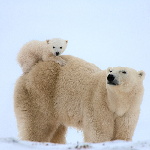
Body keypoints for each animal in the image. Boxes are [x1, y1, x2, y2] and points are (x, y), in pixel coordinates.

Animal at [13, 54, 145, 143]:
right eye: (111, 70)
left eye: (124, 71)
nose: (110, 76)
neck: (115, 102)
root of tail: (34, 66)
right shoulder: (98, 103)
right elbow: (99, 132)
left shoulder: (129, 111)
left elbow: (123, 132)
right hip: (40, 94)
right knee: (39, 124)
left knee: (57, 131)